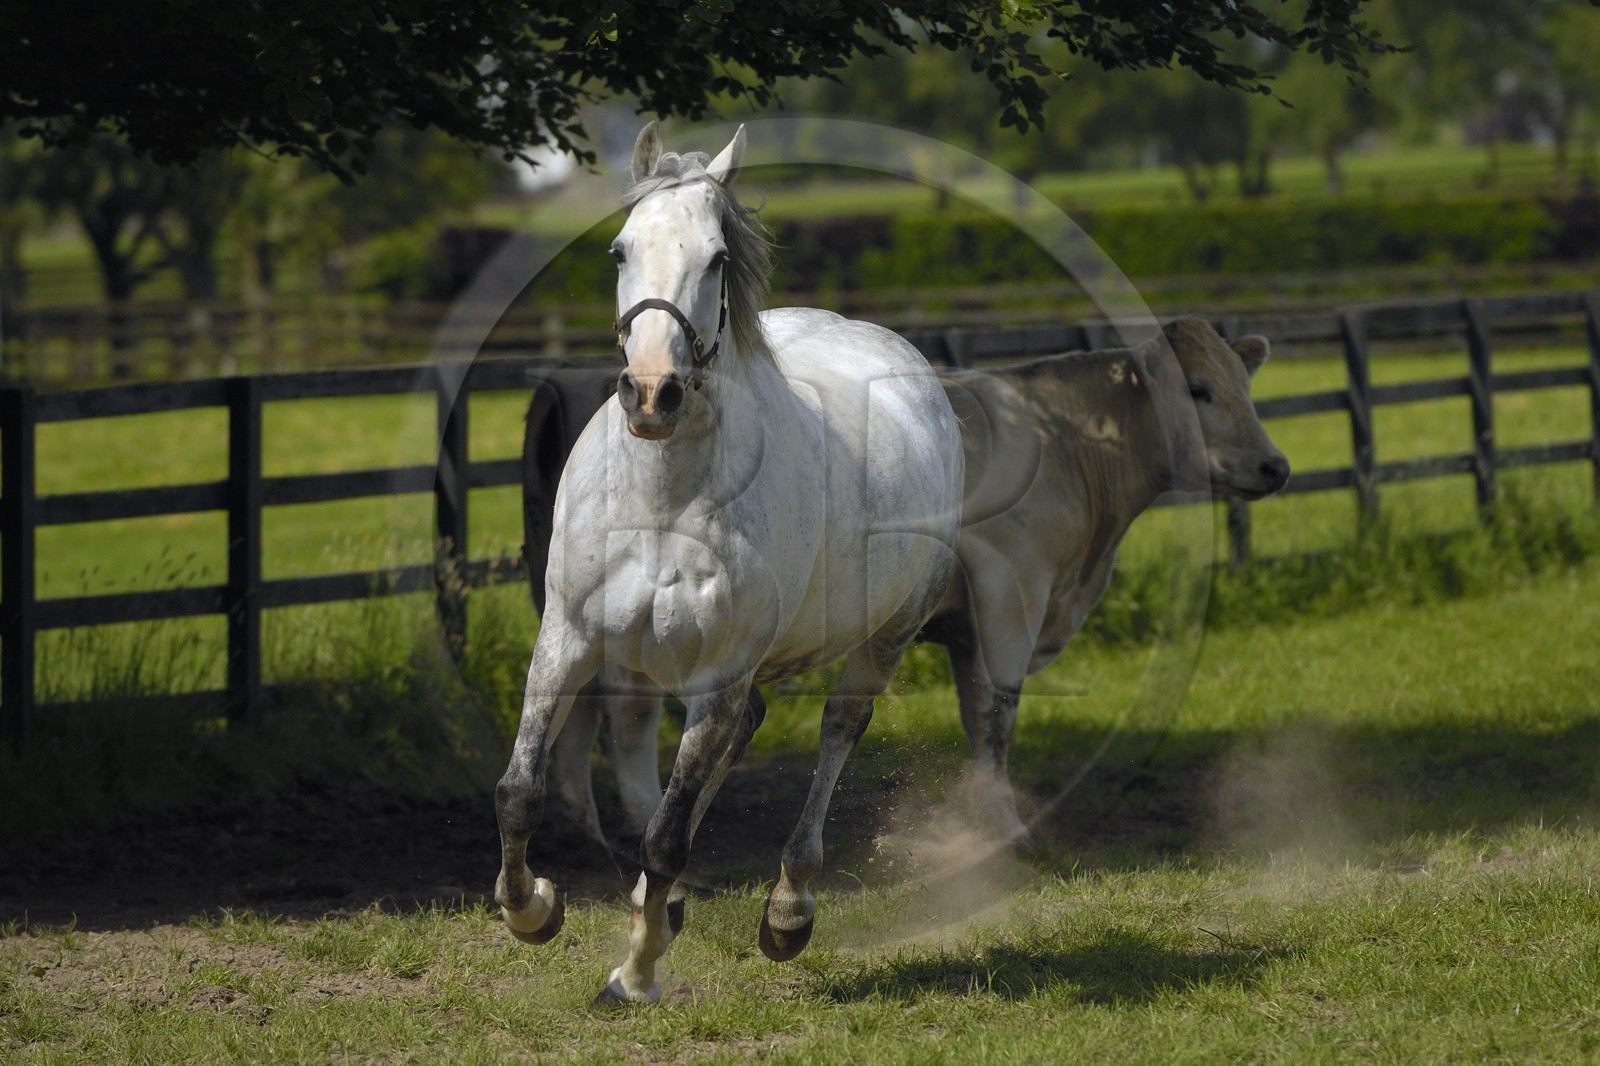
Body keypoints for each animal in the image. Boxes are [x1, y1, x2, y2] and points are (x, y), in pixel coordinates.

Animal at [493, 122, 965, 1004]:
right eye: (618, 250)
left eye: (715, 258)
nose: (652, 394)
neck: (662, 501)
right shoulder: (568, 637)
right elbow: (519, 792)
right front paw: (534, 909)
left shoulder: (719, 673)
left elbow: (667, 832)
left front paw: (638, 970)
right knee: (740, 739)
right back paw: (665, 907)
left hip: (881, 638)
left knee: (837, 730)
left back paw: (786, 911)